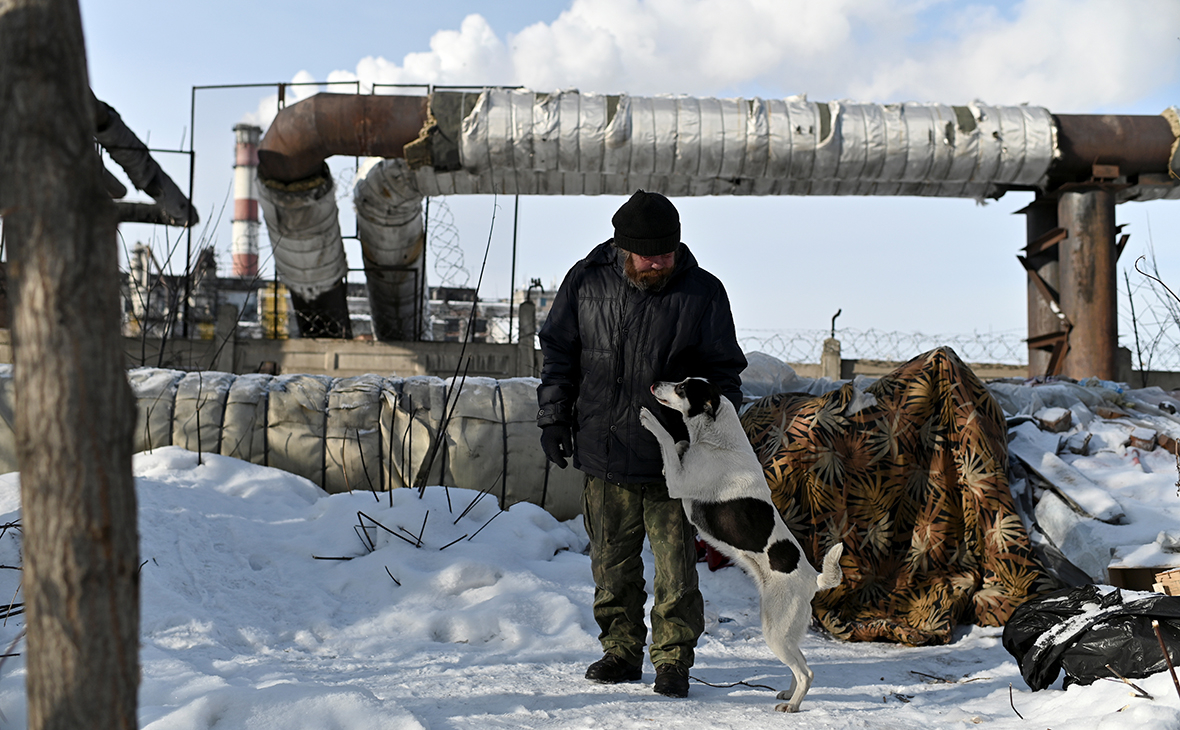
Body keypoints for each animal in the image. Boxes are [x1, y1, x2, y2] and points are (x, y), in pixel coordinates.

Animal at [641, 377, 844, 712]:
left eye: (682, 387)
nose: (655, 383)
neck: (716, 440)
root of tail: (813, 580)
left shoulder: (678, 483)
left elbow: (668, 441)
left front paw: (650, 420)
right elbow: (679, 445)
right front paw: (681, 442)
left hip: (775, 631)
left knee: (806, 672)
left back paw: (792, 706)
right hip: (785, 631)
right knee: (802, 666)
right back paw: (789, 694)